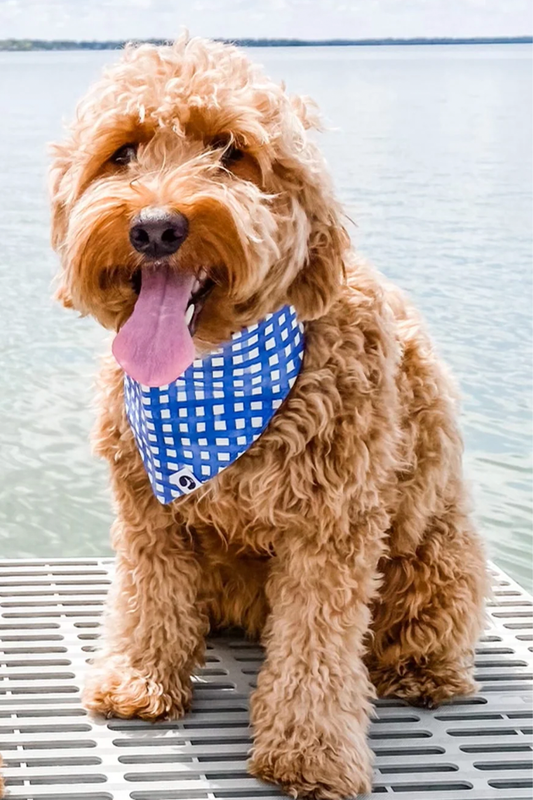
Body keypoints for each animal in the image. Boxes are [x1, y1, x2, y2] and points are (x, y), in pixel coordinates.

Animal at [48, 36, 486, 800]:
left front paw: (310, 751)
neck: (207, 378)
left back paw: (422, 674)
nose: (155, 228)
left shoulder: (331, 530)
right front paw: (140, 679)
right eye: (122, 152)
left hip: (439, 558)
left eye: (231, 151)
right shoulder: (148, 511)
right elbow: (149, 597)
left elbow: (316, 645)